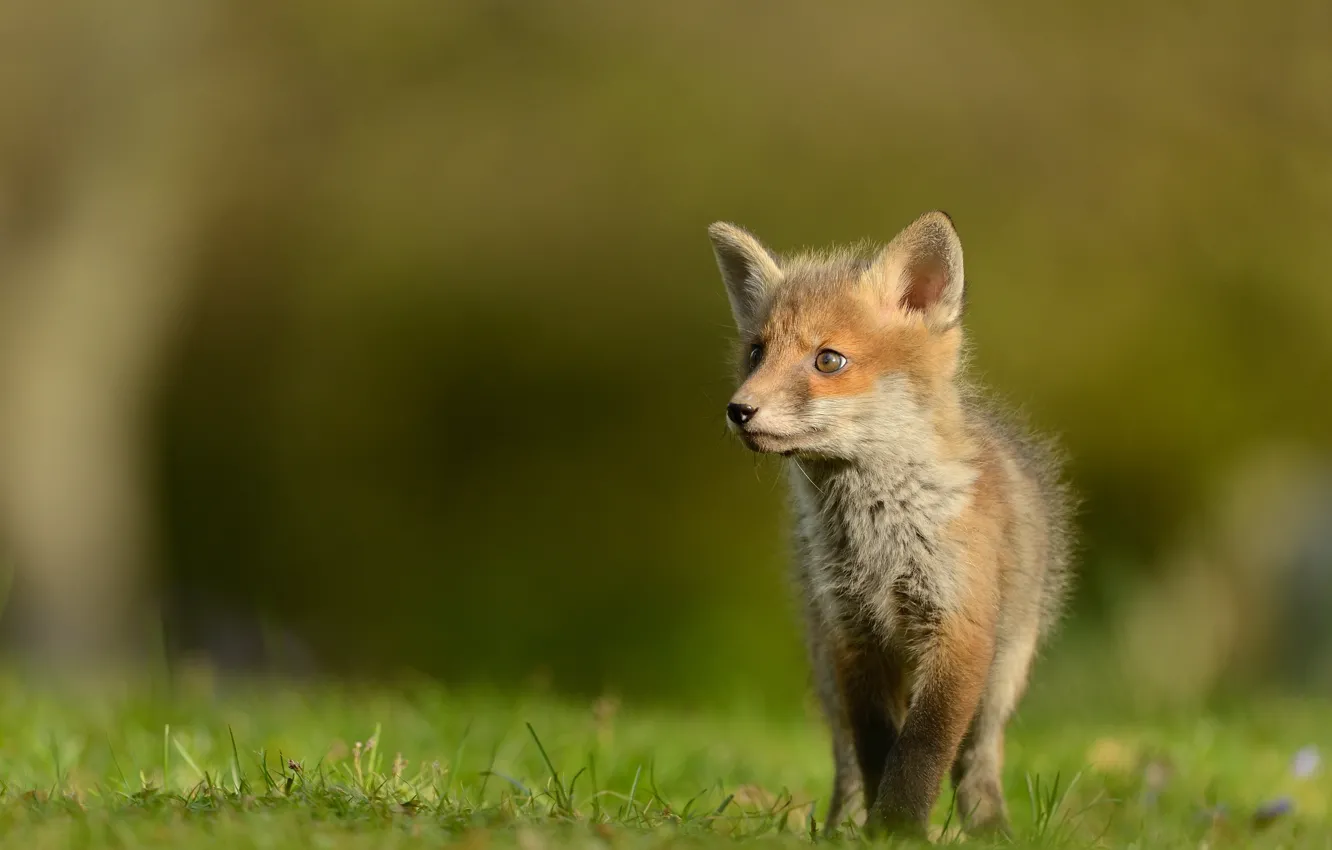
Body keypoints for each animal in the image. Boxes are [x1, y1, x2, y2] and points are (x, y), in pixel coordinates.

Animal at [707, 211, 1074, 838]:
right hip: (826, 673)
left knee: (978, 761)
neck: (878, 541)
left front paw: (900, 829)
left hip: (1002, 677)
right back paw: (840, 828)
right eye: (756, 353)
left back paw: (990, 832)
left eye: (828, 360)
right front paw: (878, 833)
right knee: (847, 763)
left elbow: (922, 748)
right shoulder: (853, 634)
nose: (739, 410)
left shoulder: (957, 628)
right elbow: (879, 747)